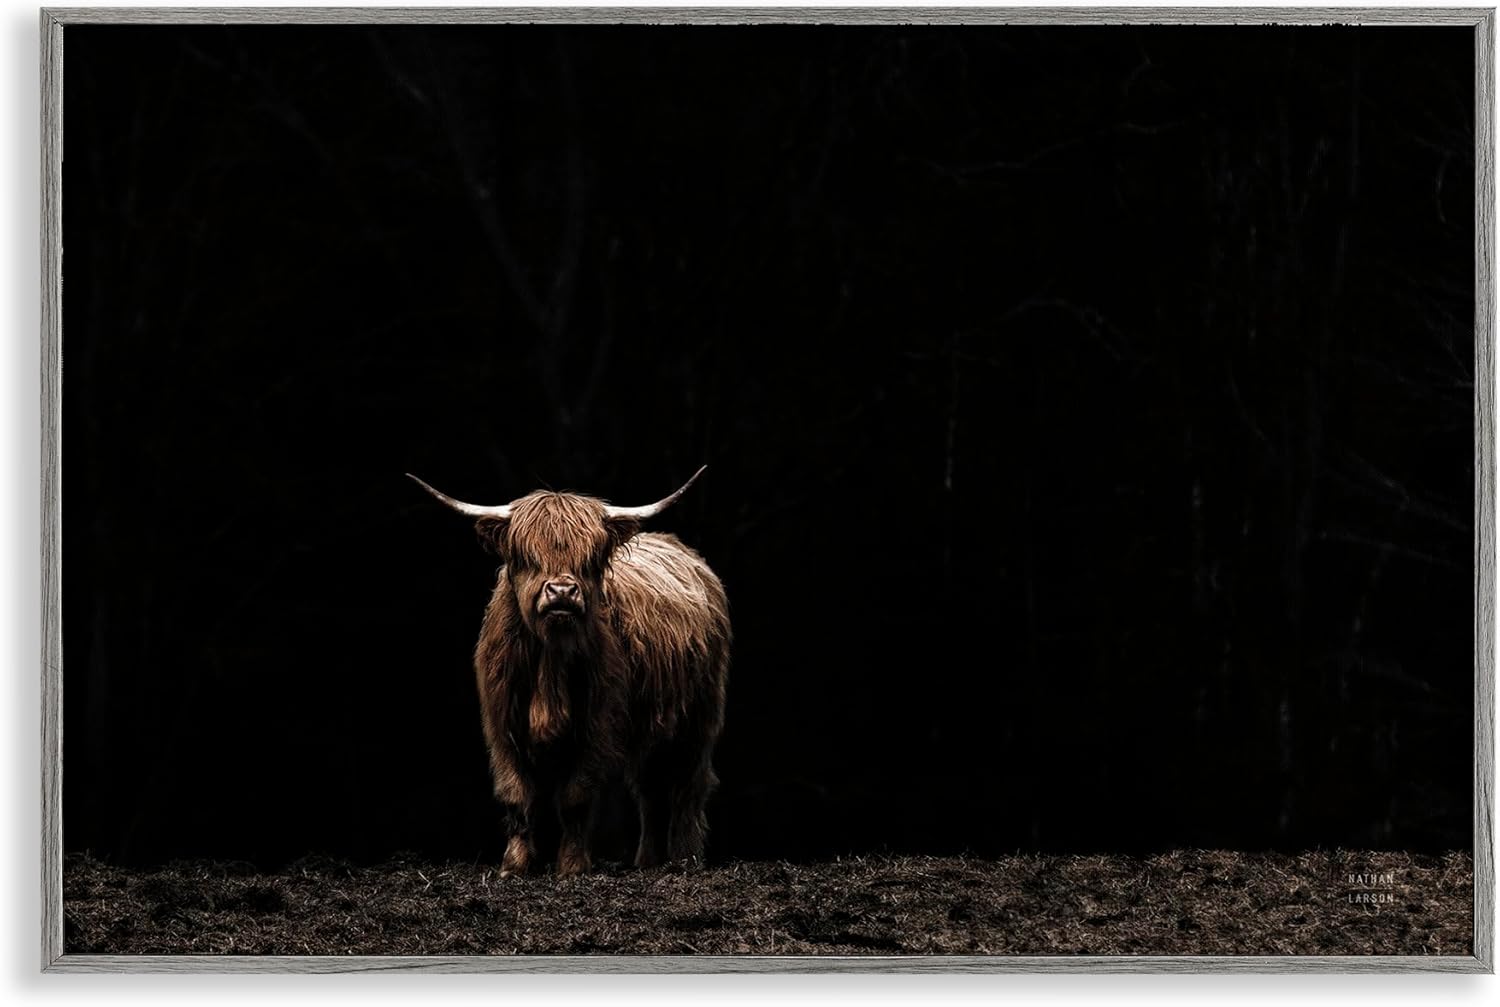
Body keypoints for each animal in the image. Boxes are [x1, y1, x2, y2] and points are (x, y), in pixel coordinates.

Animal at [409, 466, 730, 877]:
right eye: (526, 555)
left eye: (591, 558)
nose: (562, 592)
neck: (552, 661)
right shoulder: (502, 722)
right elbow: (516, 793)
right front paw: (514, 865)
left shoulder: (596, 725)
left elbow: (576, 796)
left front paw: (573, 866)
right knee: (649, 789)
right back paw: (646, 862)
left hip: (700, 716)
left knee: (688, 784)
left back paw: (685, 857)